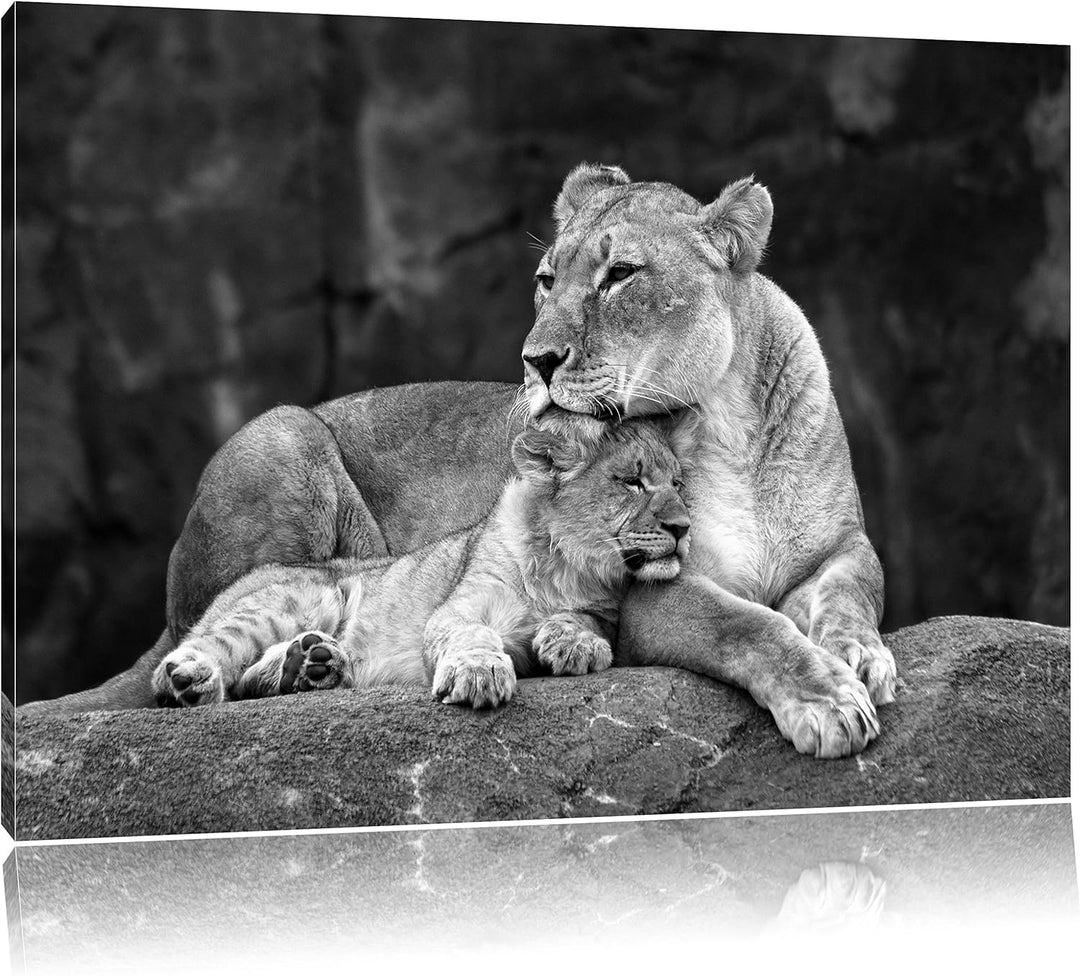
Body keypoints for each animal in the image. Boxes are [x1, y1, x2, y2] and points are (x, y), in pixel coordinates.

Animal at [151, 411, 691, 710]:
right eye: (632, 482)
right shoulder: (456, 609)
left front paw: (574, 643)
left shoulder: (605, 611)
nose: (684, 527)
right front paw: (479, 675)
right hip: (303, 596)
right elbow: (472, 636)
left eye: (678, 484)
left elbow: (586, 622)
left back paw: (311, 666)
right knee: (198, 657)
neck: (566, 567)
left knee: (249, 677)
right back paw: (192, 680)